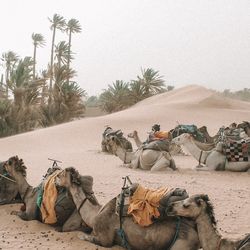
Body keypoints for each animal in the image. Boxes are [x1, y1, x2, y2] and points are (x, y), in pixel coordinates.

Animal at [55, 168, 201, 250]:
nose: (55, 179)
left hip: (183, 243)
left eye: (61, 174)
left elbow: (84, 237)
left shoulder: (105, 239)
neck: (94, 214)